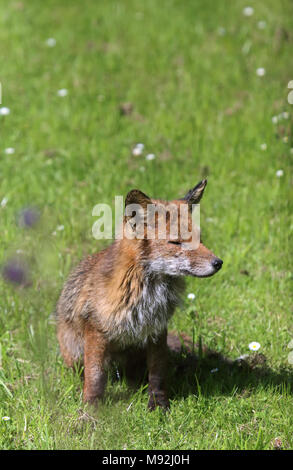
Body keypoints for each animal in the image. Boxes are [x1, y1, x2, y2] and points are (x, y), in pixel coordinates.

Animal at [56, 180, 222, 412]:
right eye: (176, 243)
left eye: (201, 239)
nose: (218, 263)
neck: (146, 294)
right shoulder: (96, 331)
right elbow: (95, 376)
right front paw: (92, 408)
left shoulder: (157, 329)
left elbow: (157, 373)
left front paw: (158, 404)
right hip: (75, 350)